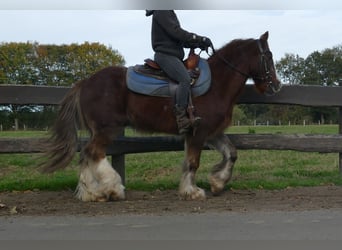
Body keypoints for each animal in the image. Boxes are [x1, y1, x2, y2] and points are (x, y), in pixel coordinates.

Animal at [42, 32, 280, 202]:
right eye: (268, 56)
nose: (276, 85)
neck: (217, 83)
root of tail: (85, 83)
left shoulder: (212, 132)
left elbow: (231, 153)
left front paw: (217, 183)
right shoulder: (198, 132)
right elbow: (193, 162)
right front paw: (192, 191)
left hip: (99, 130)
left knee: (86, 155)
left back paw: (91, 193)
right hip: (106, 129)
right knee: (94, 153)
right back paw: (113, 188)